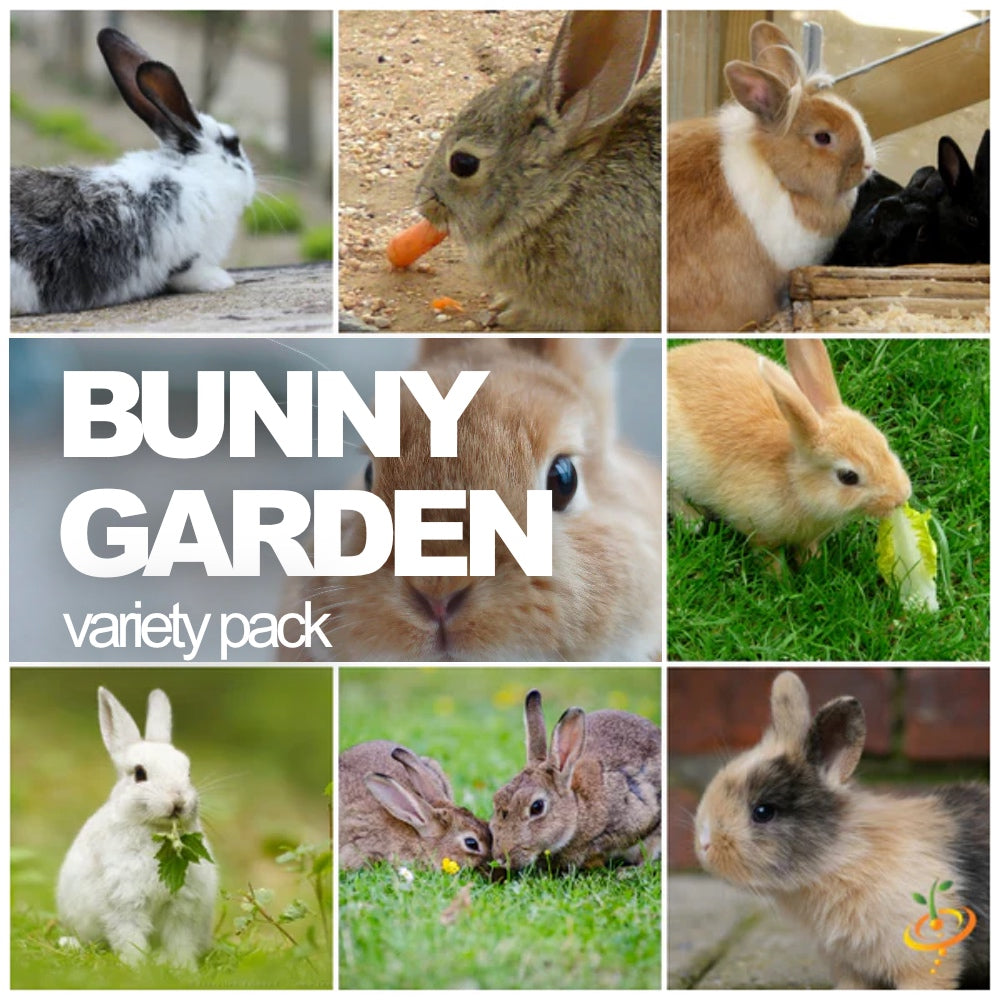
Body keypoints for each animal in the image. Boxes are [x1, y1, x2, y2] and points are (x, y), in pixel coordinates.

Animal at [11, 26, 255, 315]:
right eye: (233, 144)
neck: (195, 174)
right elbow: (190, 273)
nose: (252, 184)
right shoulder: (188, 256)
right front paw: (220, 281)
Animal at [56, 687, 216, 969]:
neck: (156, 833)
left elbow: (180, 941)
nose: (178, 801)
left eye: (188, 771)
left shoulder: (181, 907)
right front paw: (137, 966)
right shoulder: (125, 902)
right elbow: (129, 936)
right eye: (140, 773)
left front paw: (183, 968)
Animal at [490, 689, 661, 872]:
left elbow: (645, 854)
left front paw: (626, 872)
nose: (501, 858)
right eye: (496, 798)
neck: (578, 809)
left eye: (537, 807)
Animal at [667, 338, 911, 564]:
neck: (793, 479)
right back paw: (693, 522)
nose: (901, 497)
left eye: (883, 443)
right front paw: (780, 578)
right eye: (848, 476)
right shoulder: (760, 531)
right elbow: (769, 558)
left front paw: (812, 563)